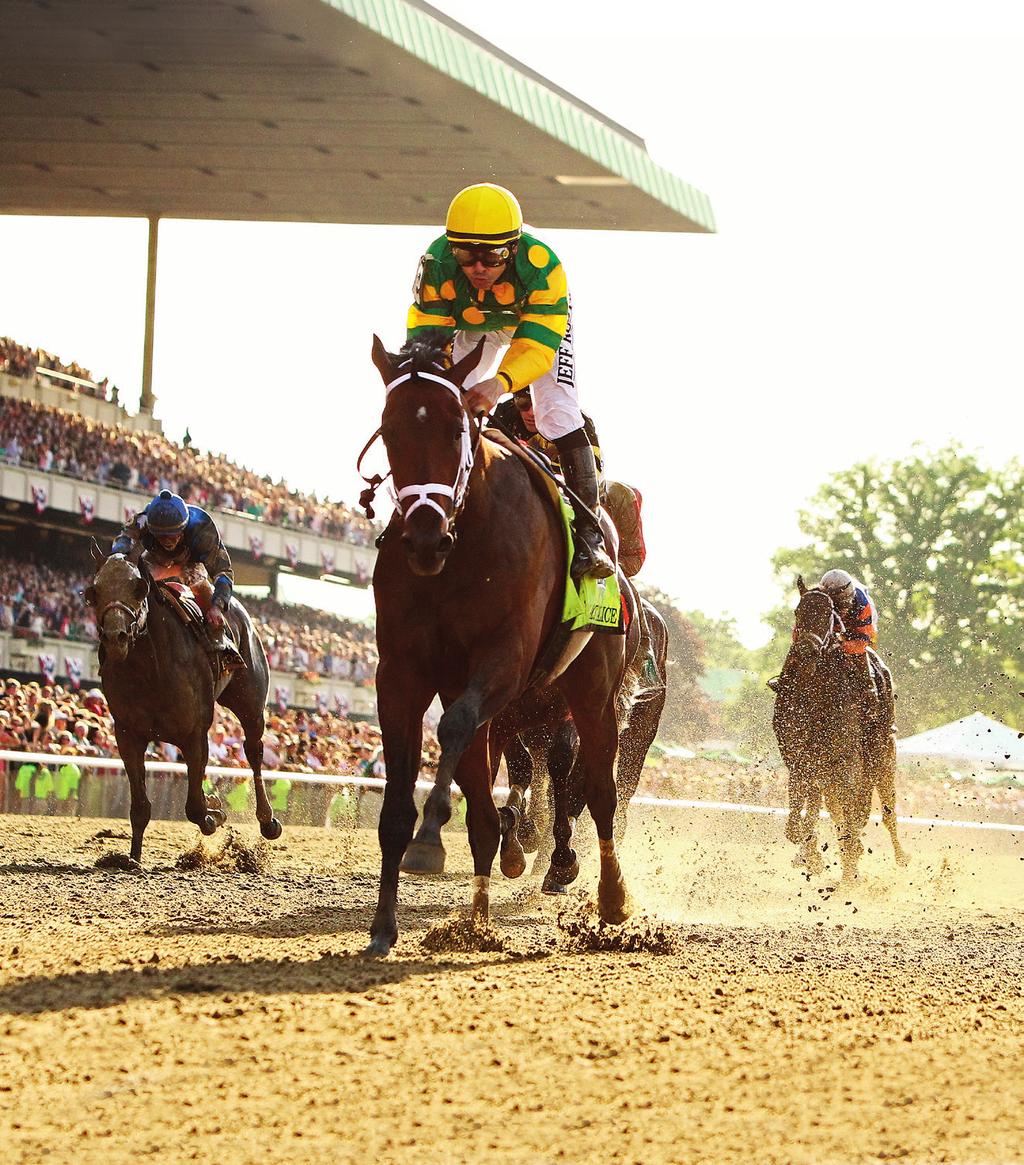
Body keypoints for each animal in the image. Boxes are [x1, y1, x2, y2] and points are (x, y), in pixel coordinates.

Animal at [83, 547, 281, 866]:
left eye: (138, 588)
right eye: (94, 591)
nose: (116, 637)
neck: (151, 669)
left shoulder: (194, 734)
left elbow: (195, 807)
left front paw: (214, 815)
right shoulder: (128, 735)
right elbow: (141, 805)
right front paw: (132, 858)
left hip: (250, 702)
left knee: (254, 751)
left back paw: (267, 820)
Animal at [368, 337, 638, 955]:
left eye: (456, 430)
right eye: (390, 430)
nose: (424, 537)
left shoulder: (504, 664)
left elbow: (454, 732)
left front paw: (429, 837)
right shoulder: (399, 674)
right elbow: (404, 799)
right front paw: (384, 926)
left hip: (592, 688)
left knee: (601, 788)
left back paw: (611, 897)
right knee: (490, 810)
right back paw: (477, 917)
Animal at [773, 577, 908, 876]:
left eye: (828, 616)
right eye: (797, 612)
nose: (805, 654)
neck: (814, 693)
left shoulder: (845, 759)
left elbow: (847, 810)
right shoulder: (799, 757)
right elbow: (802, 806)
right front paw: (808, 852)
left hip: (882, 754)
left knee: (885, 810)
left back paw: (896, 858)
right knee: (838, 808)